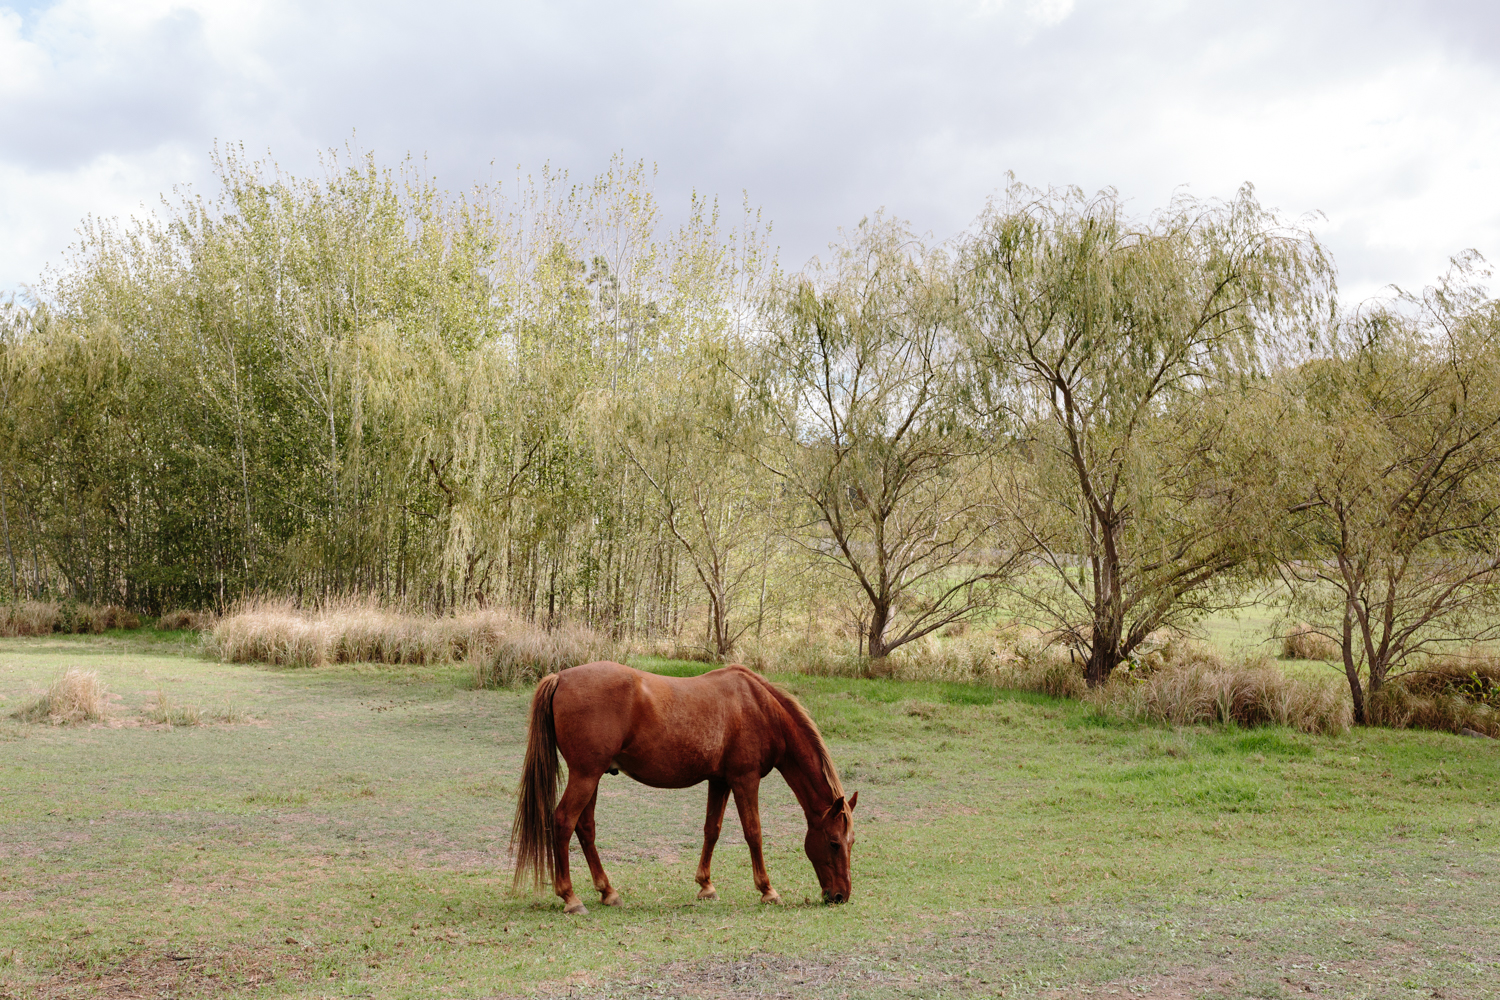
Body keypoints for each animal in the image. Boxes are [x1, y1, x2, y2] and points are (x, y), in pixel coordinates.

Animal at [510, 665, 858, 917]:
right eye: (834, 843)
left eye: (850, 842)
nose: (840, 895)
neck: (760, 708)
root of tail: (561, 677)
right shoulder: (745, 780)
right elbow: (753, 833)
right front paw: (768, 890)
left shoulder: (720, 781)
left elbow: (712, 830)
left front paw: (706, 885)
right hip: (585, 775)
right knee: (563, 822)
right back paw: (570, 897)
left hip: (592, 777)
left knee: (585, 828)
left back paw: (608, 892)